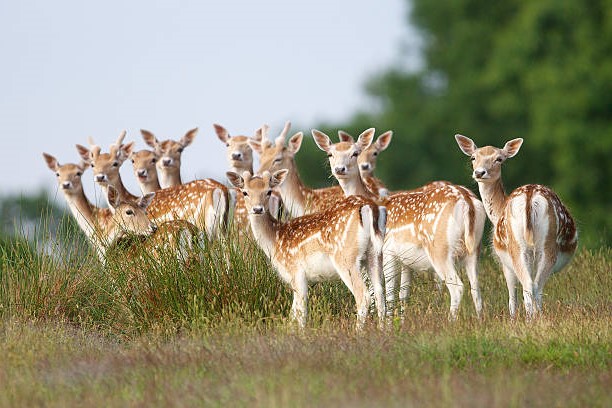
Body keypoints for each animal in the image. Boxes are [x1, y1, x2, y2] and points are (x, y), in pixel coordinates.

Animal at [225, 169, 388, 328]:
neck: (275, 240)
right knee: (380, 294)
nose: (257, 209)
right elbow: (293, 313)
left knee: (363, 295)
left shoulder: (296, 271)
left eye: (269, 191)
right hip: (375, 253)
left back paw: (358, 331)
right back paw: (382, 330)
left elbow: (301, 312)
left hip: (346, 257)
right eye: (245, 192)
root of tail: (370, 206)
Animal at [314, 127, 486, 318]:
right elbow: (404, 294)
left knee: (457, 287)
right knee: (476, 288)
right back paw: (480, 320)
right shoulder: (406, 262)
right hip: (474, 249)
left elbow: (388, 294)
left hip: (440, 248)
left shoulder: (387, 252)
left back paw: (450, 321)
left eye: (355, 153)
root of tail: (467, 202)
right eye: (330, 154)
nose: (340, 169)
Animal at [454, 135, 580, 318]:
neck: (497, 212)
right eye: (473, 157)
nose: (479, 172)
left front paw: (512, 318)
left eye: (499, 159)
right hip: (543, 247)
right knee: (535, 286)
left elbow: (511, 296)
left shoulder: (504, 263)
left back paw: (530, 319)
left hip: (518, 247)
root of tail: (530, 198)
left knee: (530, 286)